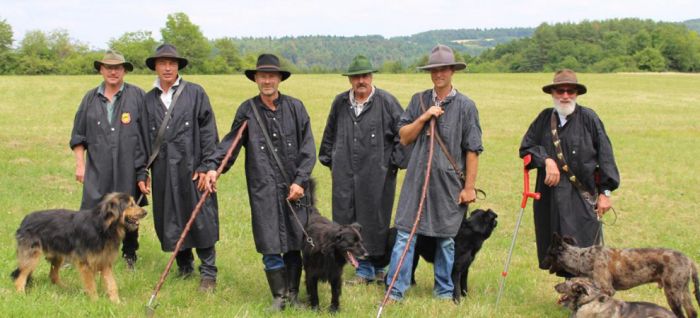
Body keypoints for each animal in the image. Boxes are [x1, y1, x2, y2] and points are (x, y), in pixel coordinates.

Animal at [11, 193, 146, 302]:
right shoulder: (85, 263)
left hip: (58, 255)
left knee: (53, 275)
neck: (103, 227)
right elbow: (91, 285)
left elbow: (112, 284)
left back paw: (64, 288)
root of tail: (24, 220)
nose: (146, 212)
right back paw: (21, 295)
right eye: (131, 204)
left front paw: (117, 303)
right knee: (19, 279)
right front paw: (95, 302)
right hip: (32, 256)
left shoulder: (105, 262)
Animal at [544, 231, 700, 318]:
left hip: (673, 294)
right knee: (692, 313)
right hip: (684, 292)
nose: (542, 264)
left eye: (548, 253)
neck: (583, 257)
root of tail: (689, 261)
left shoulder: (607, 290)